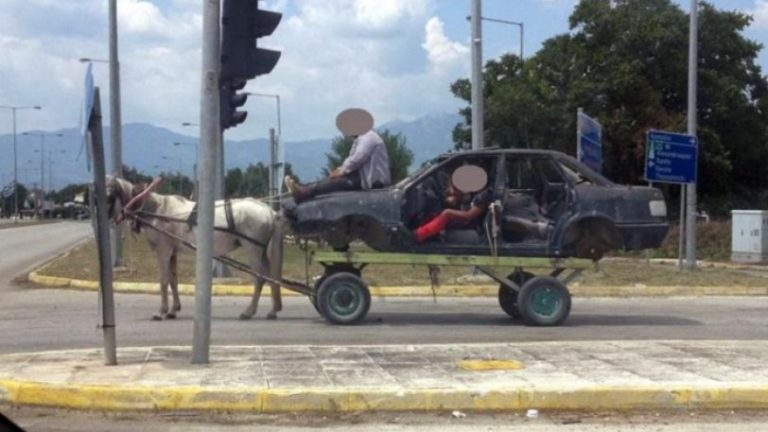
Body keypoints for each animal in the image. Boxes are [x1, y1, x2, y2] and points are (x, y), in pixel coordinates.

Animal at [103, 176, 280, 320]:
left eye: (109, 196)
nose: (105, 221)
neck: (157, 210)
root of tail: (268, 210)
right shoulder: (172, 252)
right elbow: (173, 280)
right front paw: (173, 310)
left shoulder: (163, 251)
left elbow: (164, 281)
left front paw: (161, 312)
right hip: (261, 251)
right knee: (270, 276)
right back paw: (272, 310)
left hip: (253, 249)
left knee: (259, 278)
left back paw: (249, 311)